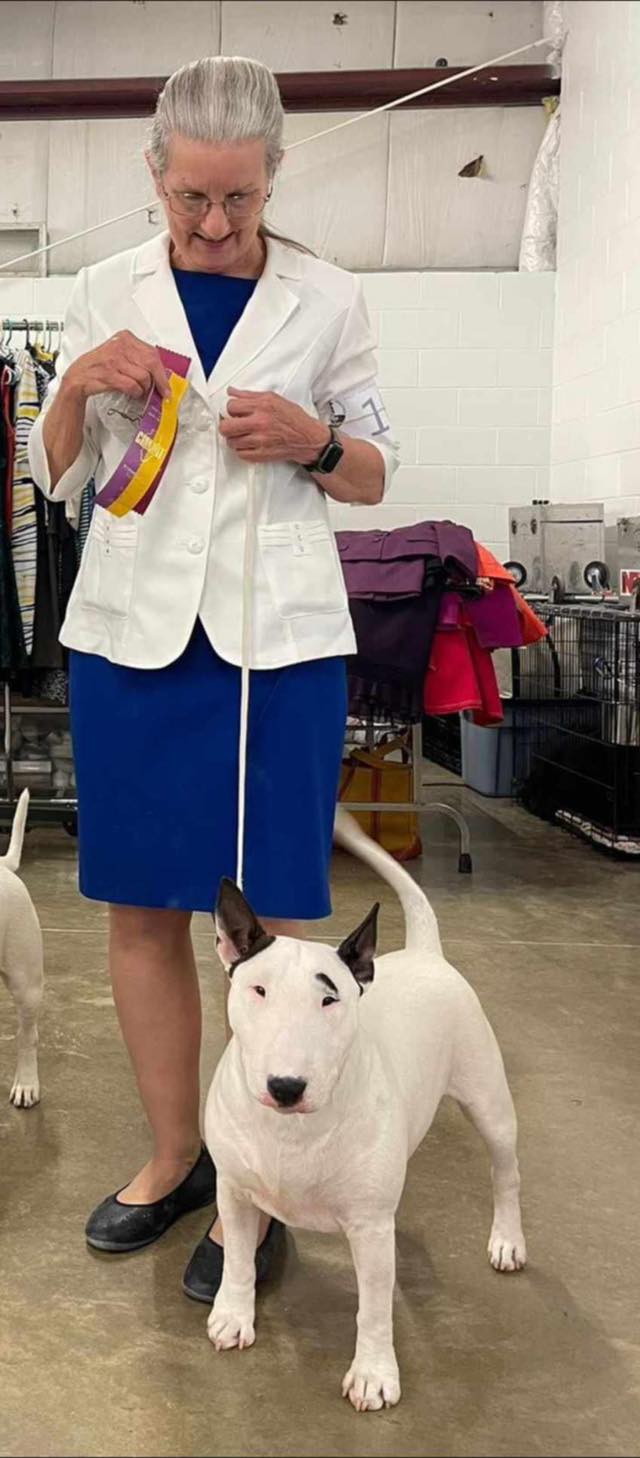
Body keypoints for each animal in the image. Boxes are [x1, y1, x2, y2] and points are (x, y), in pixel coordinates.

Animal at [205, 808, 526, 1413]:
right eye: (257, 990)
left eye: (330, 997)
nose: (286, 1086)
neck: (291, 1130)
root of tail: (426, 953)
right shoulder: (232, 1192)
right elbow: (235, 1258)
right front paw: (233, 1316)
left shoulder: (372, 1228)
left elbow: (374, 1307)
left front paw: (374, 1374)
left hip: (490, 1102)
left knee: (506, 1172)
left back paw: (508, 1240)